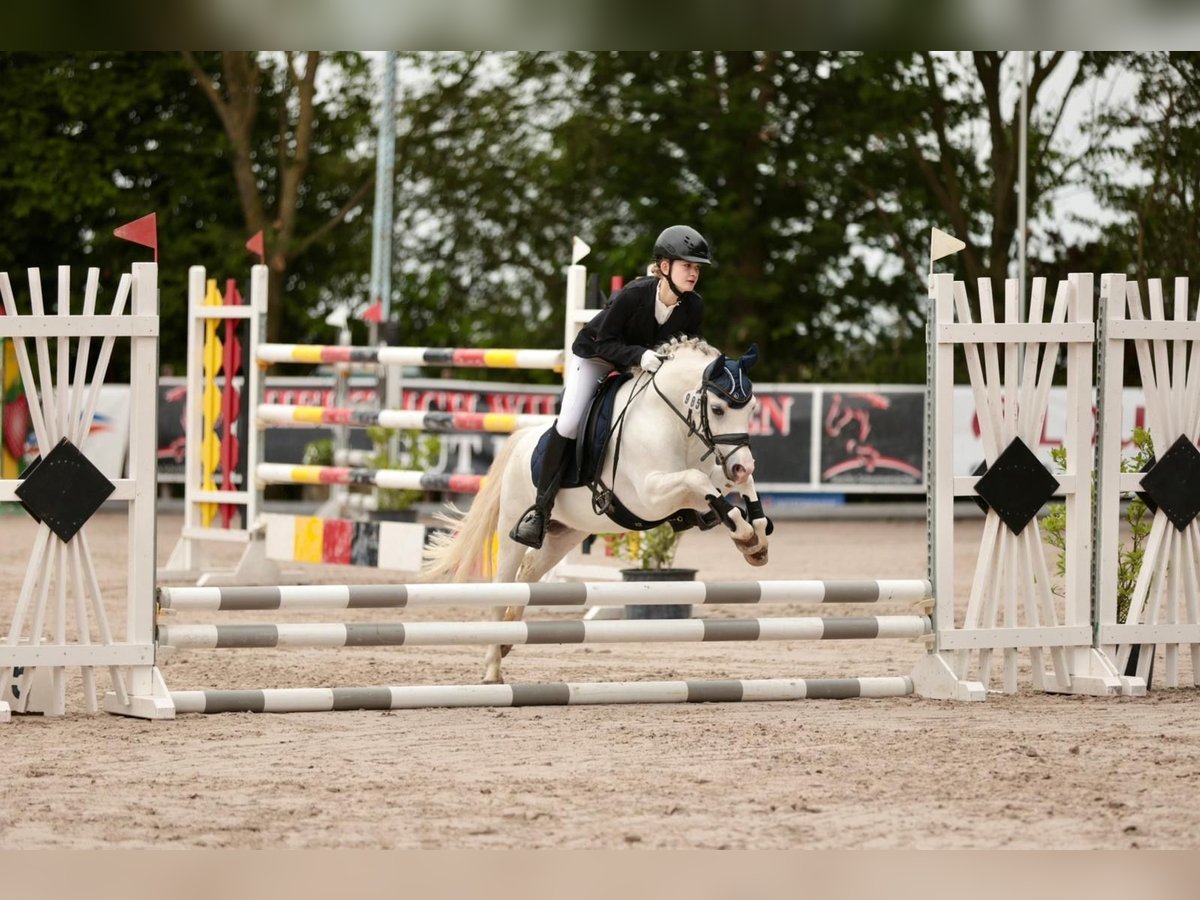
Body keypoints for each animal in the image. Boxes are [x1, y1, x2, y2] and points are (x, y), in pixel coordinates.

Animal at [421, 336, 772, 684]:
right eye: (717, 409)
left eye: (753, 408)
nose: (742, 465)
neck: (670, 420)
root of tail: (522, 440)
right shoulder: (651, 496)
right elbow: (698, 481)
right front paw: (745, 535)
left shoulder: (707, 478)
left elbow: (731, 488)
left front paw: (756, 536)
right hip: (511, 527)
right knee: (503, 584)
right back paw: (493, 667)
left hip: (566, 533)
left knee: (530, 571)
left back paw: (509, 637)